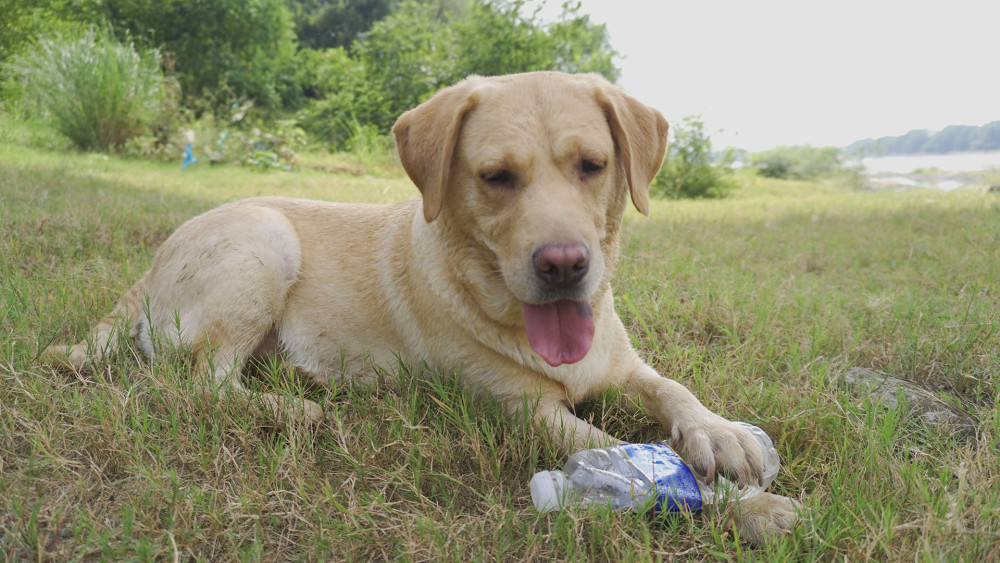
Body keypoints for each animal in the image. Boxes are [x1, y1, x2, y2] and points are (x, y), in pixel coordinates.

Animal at [47, 70, 800, 540]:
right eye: (496, 177)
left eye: (593, 165)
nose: (564, 265)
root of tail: (150, 263)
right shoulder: (526, 411)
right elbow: (619, 451)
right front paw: (751, 506)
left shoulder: (624, 364)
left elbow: (673, 387)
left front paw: (721, 434)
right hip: (264, 243)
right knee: (195, 384)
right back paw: (299, 409)